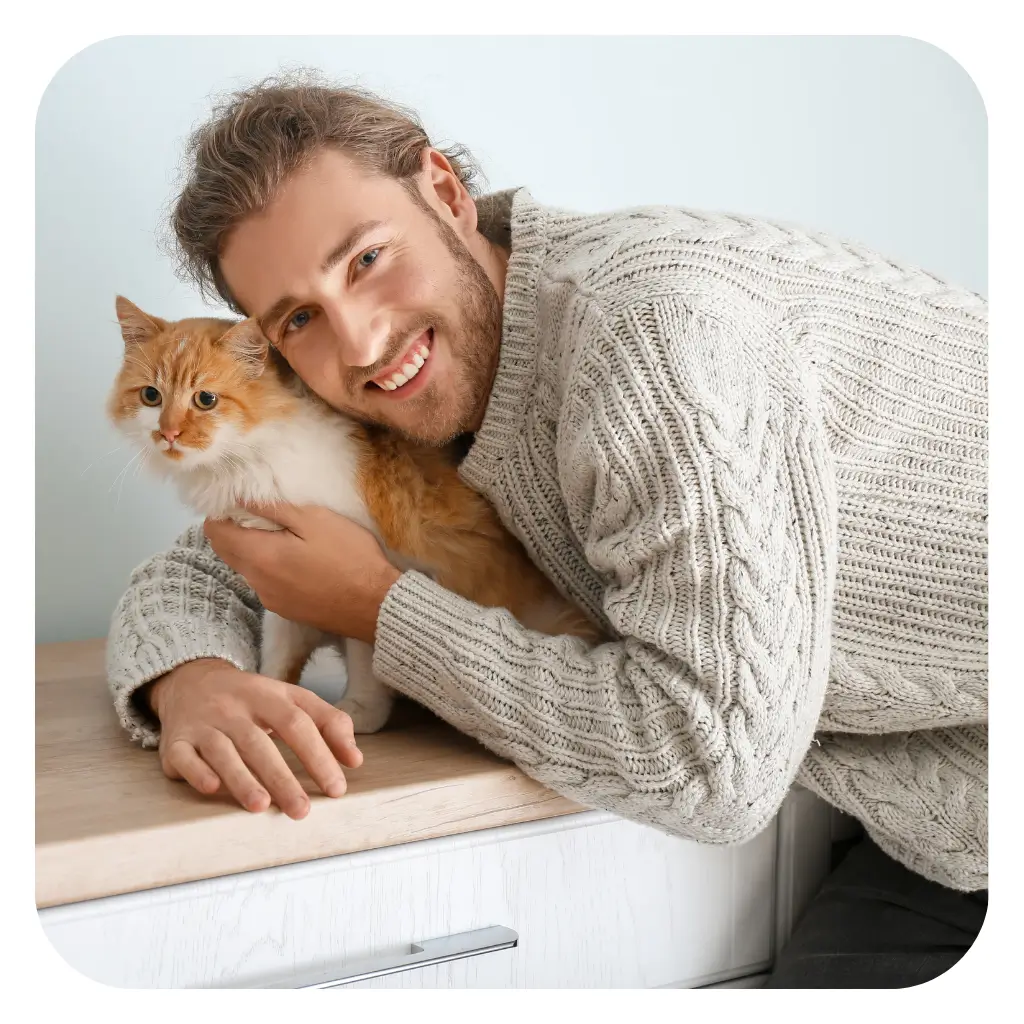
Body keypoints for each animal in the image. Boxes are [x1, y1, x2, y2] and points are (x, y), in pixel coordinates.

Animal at [108, 292, 602, 733]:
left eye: (205, 400)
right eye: (151, 396)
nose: (168, 434)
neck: (252, 457)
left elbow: (366, 655)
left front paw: (359, 713)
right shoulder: (282, 595)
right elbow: (278, 655)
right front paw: (269, 698)